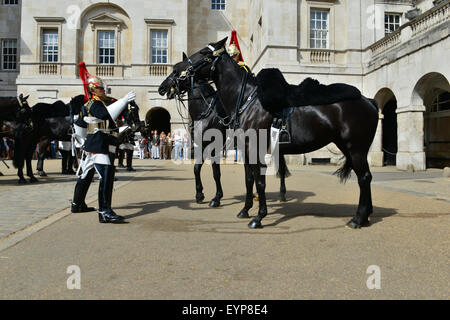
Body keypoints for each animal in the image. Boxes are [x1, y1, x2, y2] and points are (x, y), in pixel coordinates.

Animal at [163, 38, 378, 230]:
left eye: (203, 54)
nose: (167, 81)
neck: (246, 100)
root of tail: (368, 100)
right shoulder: (245, 150)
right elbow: (248, 179)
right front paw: (245, 209)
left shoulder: (240, 148)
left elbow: (257, 181)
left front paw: (257, 216)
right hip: (348, 147)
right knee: (364, 177)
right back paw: (365, 215)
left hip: (356, 149)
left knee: (364, 177)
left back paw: (358, 218)